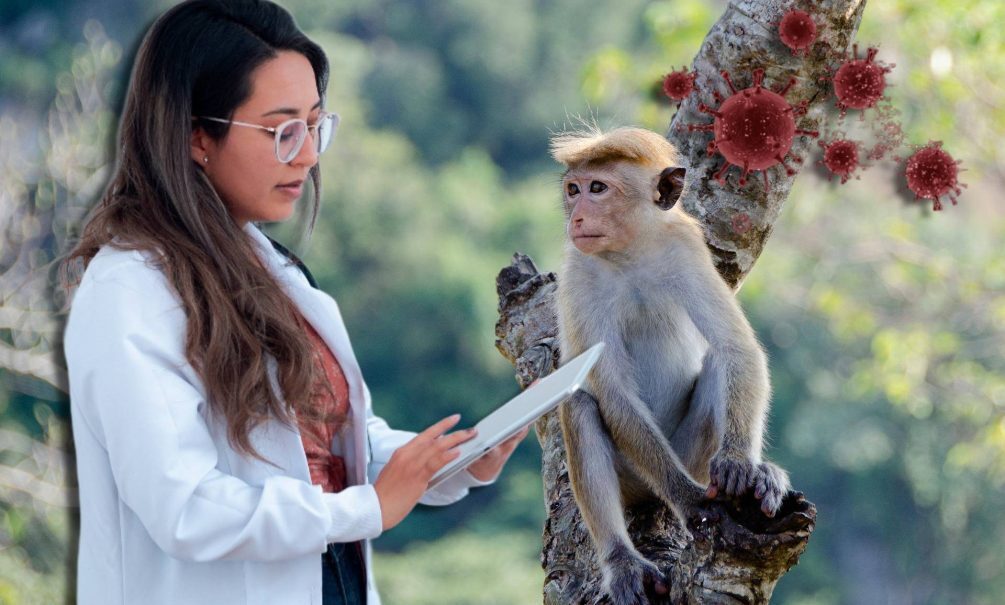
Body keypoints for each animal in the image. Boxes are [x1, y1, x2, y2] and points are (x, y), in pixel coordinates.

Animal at [554, 124, 787, 598]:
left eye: (597, 188)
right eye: (573, 190)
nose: (577, 218)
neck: (629, 254)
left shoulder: (686, 247)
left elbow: (736, 347)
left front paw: (742, 465)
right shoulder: (578, 277)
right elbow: (614, 392)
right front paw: (689, 499)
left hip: (691, 452)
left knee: (718, 364)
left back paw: (759, 473)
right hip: (635, 475)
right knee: (580, 404)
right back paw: (623, 561)